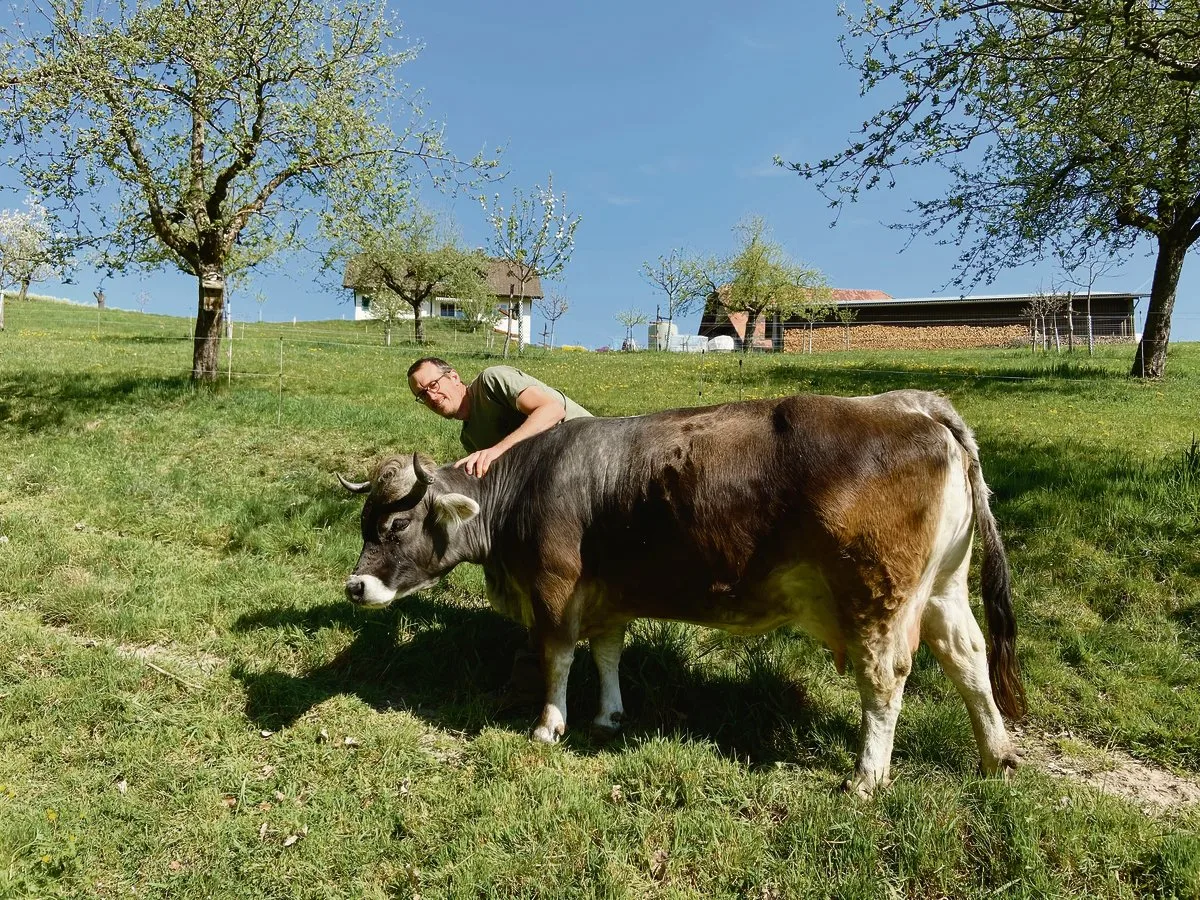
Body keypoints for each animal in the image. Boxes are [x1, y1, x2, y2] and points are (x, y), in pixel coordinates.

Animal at [338, 389, 1025, 795]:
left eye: (396, 525)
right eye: (364, 523)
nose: (354, 585)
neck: (531, 482)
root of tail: (911, 404)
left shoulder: (554, 589)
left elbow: (557, 657)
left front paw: (548, 725)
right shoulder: (606, 593)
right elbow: (607, 653)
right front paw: (609, 716)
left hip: (875, 597)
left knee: (885, 678)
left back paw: (866, 776)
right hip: (943, 588)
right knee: (968, 658)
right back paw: (996, 754)